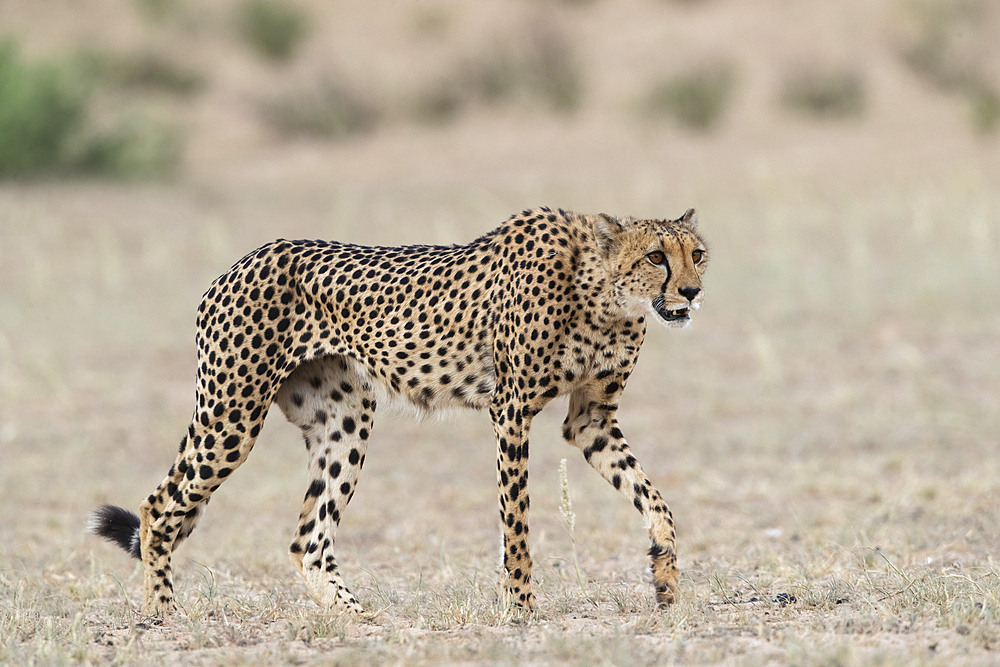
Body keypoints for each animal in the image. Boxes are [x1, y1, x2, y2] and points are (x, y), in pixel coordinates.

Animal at [90, 207, 708, 616]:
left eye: (696, 254)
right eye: (656, 257)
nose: (694, 292)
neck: (603, 295)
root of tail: (239, 263)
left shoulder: (590, 421)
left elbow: (656, 501)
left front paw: (666, 580)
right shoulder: (511, 412)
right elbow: (518, 524)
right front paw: (521, 609)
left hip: (344, 420)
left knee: (308, 540)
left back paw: (361, 620)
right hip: (231, 416)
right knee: (158, 507)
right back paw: (163, 615)